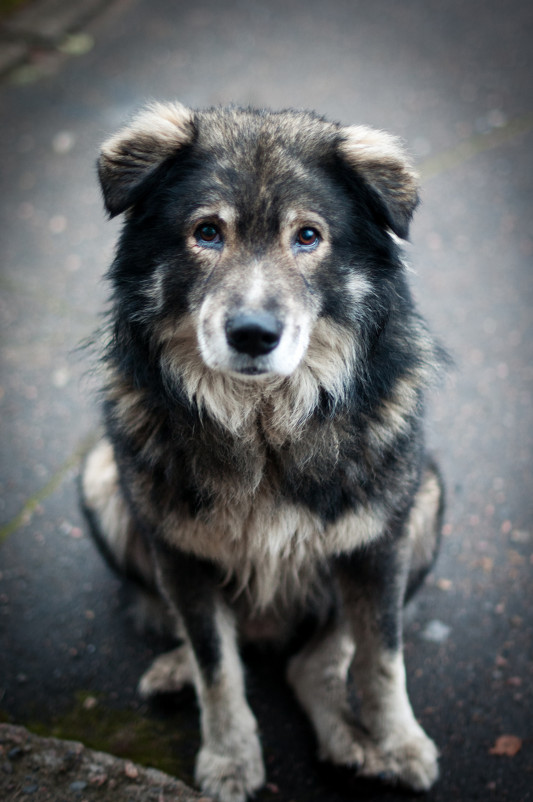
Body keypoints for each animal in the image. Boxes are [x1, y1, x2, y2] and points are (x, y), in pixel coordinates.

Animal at [80, 101, 444, 800]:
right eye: (207, 232)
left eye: (307, 237)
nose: (252, 334)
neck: (263, 423)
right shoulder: (182, 555)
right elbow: (217, 669)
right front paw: (229, 758)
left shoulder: (377, 542)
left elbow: (382, 660)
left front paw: (400, 742)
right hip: (103, 477)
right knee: (202, 635)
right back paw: (176, 668)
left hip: (424, 500)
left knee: (315, 661)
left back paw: (349, 741)